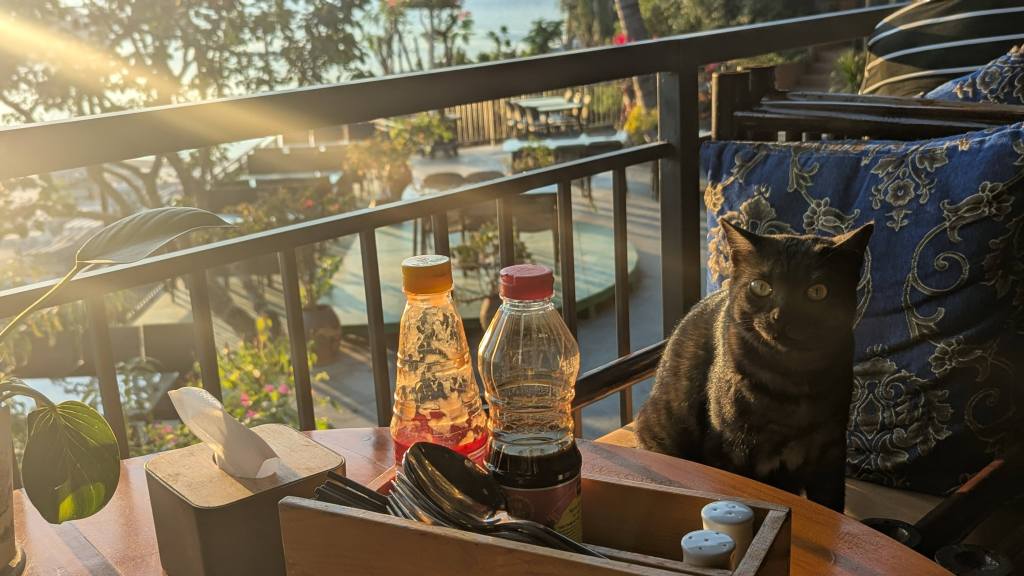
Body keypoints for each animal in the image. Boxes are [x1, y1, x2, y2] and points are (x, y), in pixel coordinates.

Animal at [635, 219, 873, 512]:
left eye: (817, 292)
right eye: (760, 286)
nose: (780, 316)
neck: (792, 381)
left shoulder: (830, 449)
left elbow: (830, 503)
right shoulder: (730, 447)